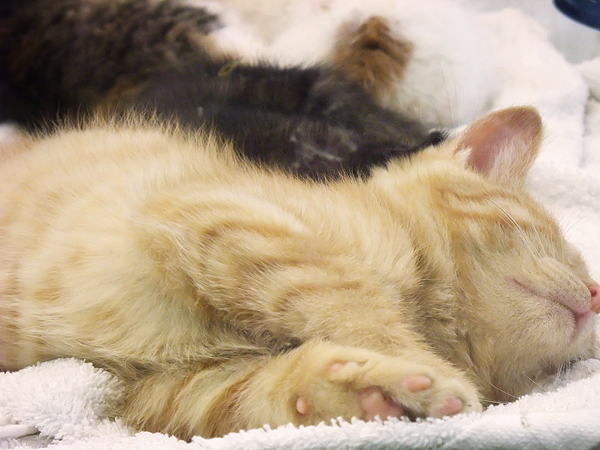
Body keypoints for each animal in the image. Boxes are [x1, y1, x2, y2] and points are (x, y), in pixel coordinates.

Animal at [1, 106, 600, 440]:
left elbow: (250, 398)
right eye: (560, 241)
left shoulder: (150, 391)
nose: (596, 294)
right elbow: (344, 295)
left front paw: (362, 393)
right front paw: (419, 368)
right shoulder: (214, 212)